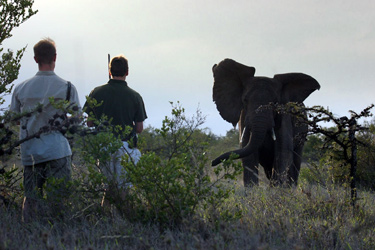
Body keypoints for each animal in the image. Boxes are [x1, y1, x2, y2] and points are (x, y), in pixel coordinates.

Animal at [212, 58, 320, 187]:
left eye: (275, 103)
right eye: (245, 100)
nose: (212, 162)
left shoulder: (284, 119)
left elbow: (283, 152)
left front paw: (277, 191)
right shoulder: (243, 118)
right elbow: (249, 155)